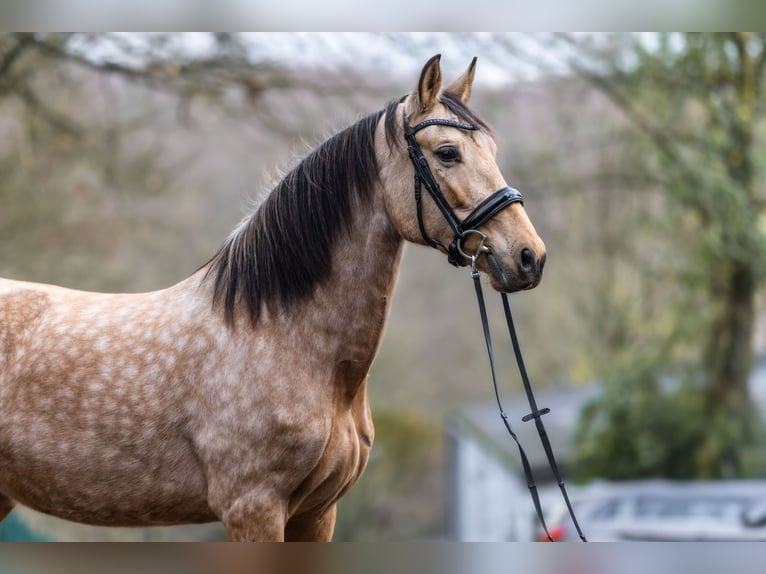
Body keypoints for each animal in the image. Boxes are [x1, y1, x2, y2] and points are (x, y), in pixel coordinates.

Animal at [0, 55, 544, 544]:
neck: (285, 336)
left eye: (491, 148)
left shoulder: (317, 513)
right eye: (448, 152)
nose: (529, 257)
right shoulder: (254, 509)